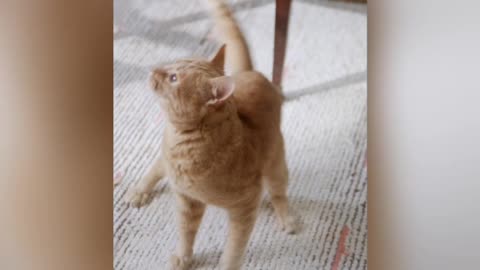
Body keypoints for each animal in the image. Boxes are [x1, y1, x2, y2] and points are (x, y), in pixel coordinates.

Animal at [125, 1, 298, 268]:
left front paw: (225, 264)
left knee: (279, 193)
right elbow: (186, 233)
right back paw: (140, 191)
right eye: (172, 67)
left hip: (276, 166)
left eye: (173, 78)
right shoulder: (187, 202)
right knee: (156, 168)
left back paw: (286, 217)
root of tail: (250, 72)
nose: (154, 69)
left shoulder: (245, 208)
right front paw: (184, 256)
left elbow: (234, 248)